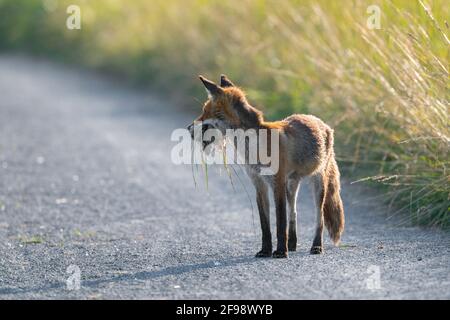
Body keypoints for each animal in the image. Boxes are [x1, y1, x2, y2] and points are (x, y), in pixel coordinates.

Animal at [186, 75, 344, 258]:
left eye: (205, 112)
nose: (188, 128)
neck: (254, 148)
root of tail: (321, 122)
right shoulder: (259, 184)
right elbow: (265, 225)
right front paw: (266, 250)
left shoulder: (277, 183)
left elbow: (280, 223)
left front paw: (281, 251)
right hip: (291, 185)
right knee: (293, 213)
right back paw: (292, 244)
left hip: (318, 184)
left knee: (319, 218)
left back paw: (316, 246)